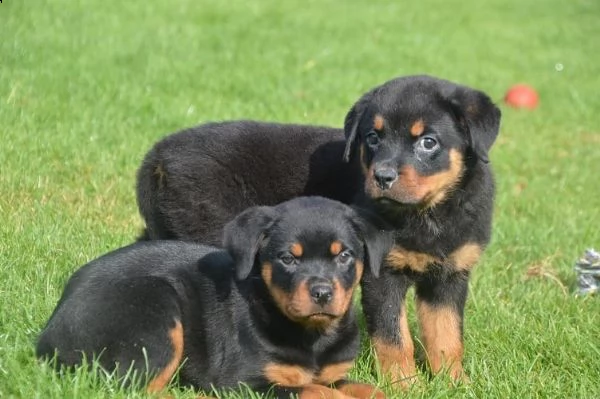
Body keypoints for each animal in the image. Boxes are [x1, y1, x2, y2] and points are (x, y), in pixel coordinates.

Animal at [38, 197, 394, 399]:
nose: (322, 292)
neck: (313, 336)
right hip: (156, 310)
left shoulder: (335, 374)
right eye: (287, 259)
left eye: (344, 256)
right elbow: (315, 391)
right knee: (135, 389)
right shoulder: (245, 381)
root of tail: (48, 334)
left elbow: (366, 388)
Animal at [137, 75, 502, 388]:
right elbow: (394, 337)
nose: (382, 177)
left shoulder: (450, 274)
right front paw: (405, 384)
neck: (430, 212)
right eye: (373, 138)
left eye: (428, 142)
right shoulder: (383, 274)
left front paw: (455, 383)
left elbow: (447, 336)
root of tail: (156, 158)